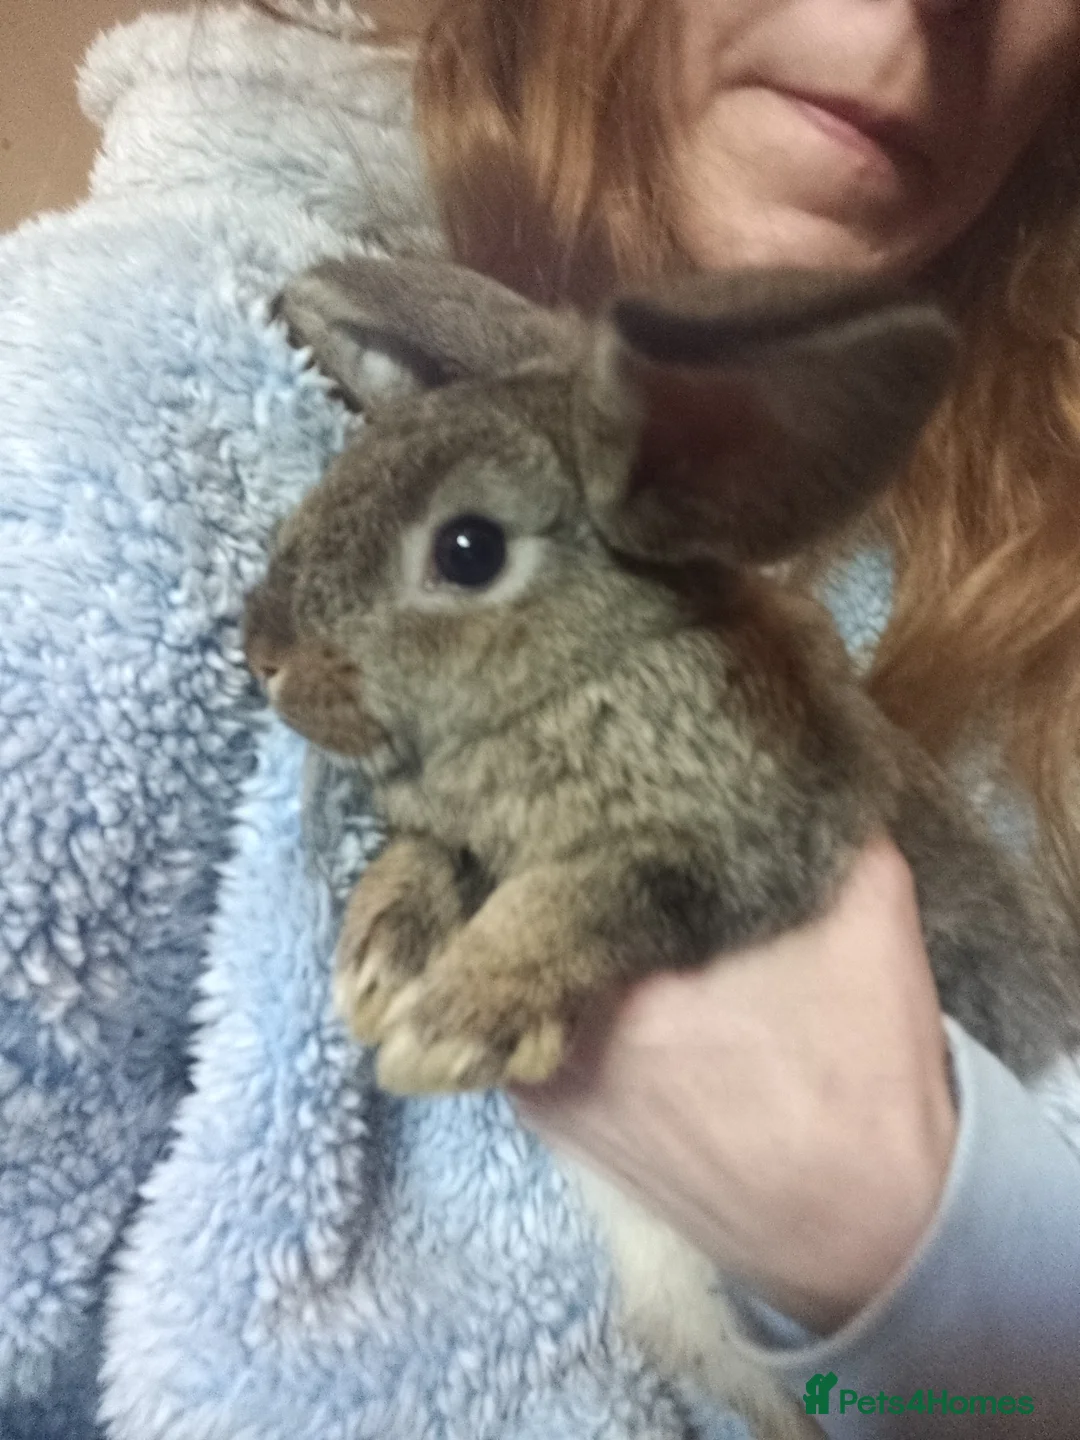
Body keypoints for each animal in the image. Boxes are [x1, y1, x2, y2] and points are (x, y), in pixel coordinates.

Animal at [243, 256, 1080, 1439]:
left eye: (467, 551)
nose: (258, 650)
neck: (592, 666)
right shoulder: (464, 831)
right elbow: (426, 856)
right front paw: (380, 959)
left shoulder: (740, 845)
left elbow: (586, 900)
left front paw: (454, 1023)